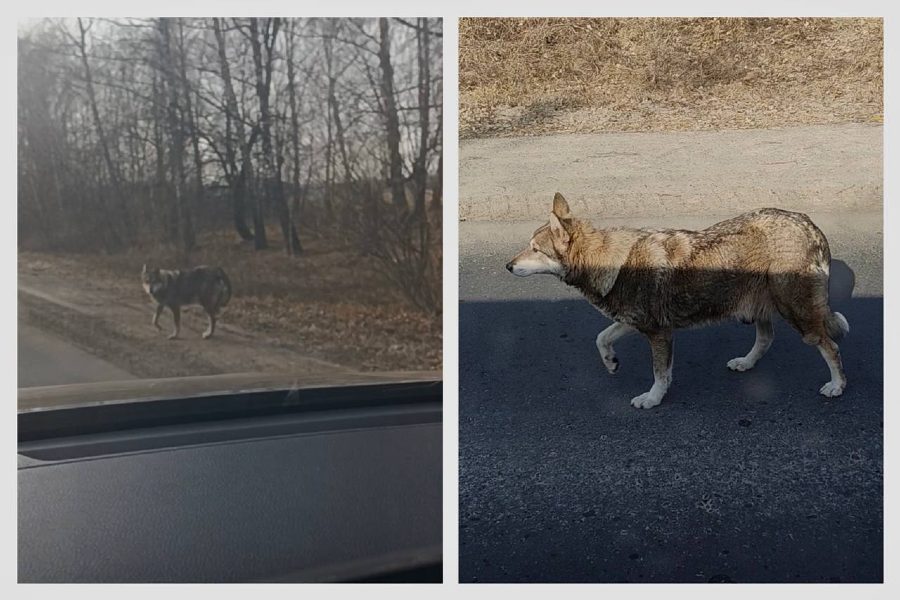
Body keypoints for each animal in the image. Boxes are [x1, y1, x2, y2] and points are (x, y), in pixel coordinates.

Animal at [505, 193, 849, 409]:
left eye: (535, 249)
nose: (508, 266)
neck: (612, 262)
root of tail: (809, 224)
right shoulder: (633, 322)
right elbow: (601, 338)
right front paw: (611, 362)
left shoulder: (659, 333)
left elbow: (660, 374)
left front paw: (652, 399)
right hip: (758, 310)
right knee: (767, 338)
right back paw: (746, 362)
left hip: (798, 315)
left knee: (830, 346)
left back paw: (837, 385)